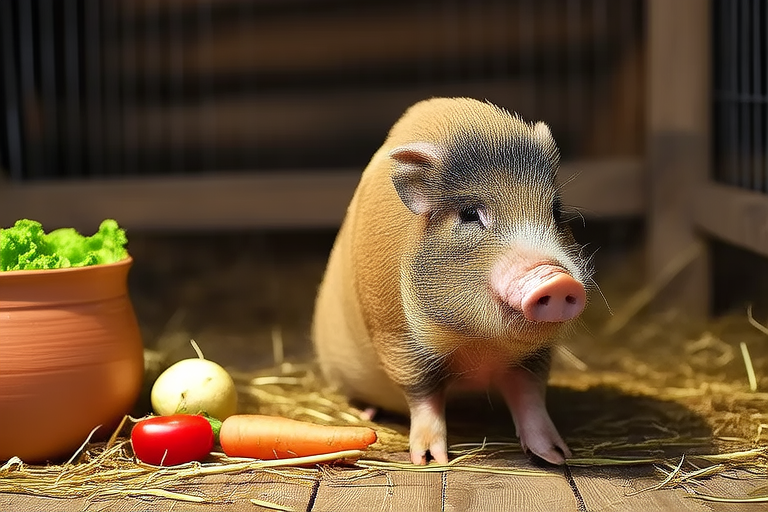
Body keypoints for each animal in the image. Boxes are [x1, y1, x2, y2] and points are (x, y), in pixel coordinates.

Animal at [312, 97, 591, 465]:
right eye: (470, 214)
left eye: (556, 212)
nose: (557, 281)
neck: (478, 343)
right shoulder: (395, 337)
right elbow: (423, 397)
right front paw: (432, 461)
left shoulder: (536, 355)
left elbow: (529, 397)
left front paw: (557, 456)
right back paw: (367, 413)